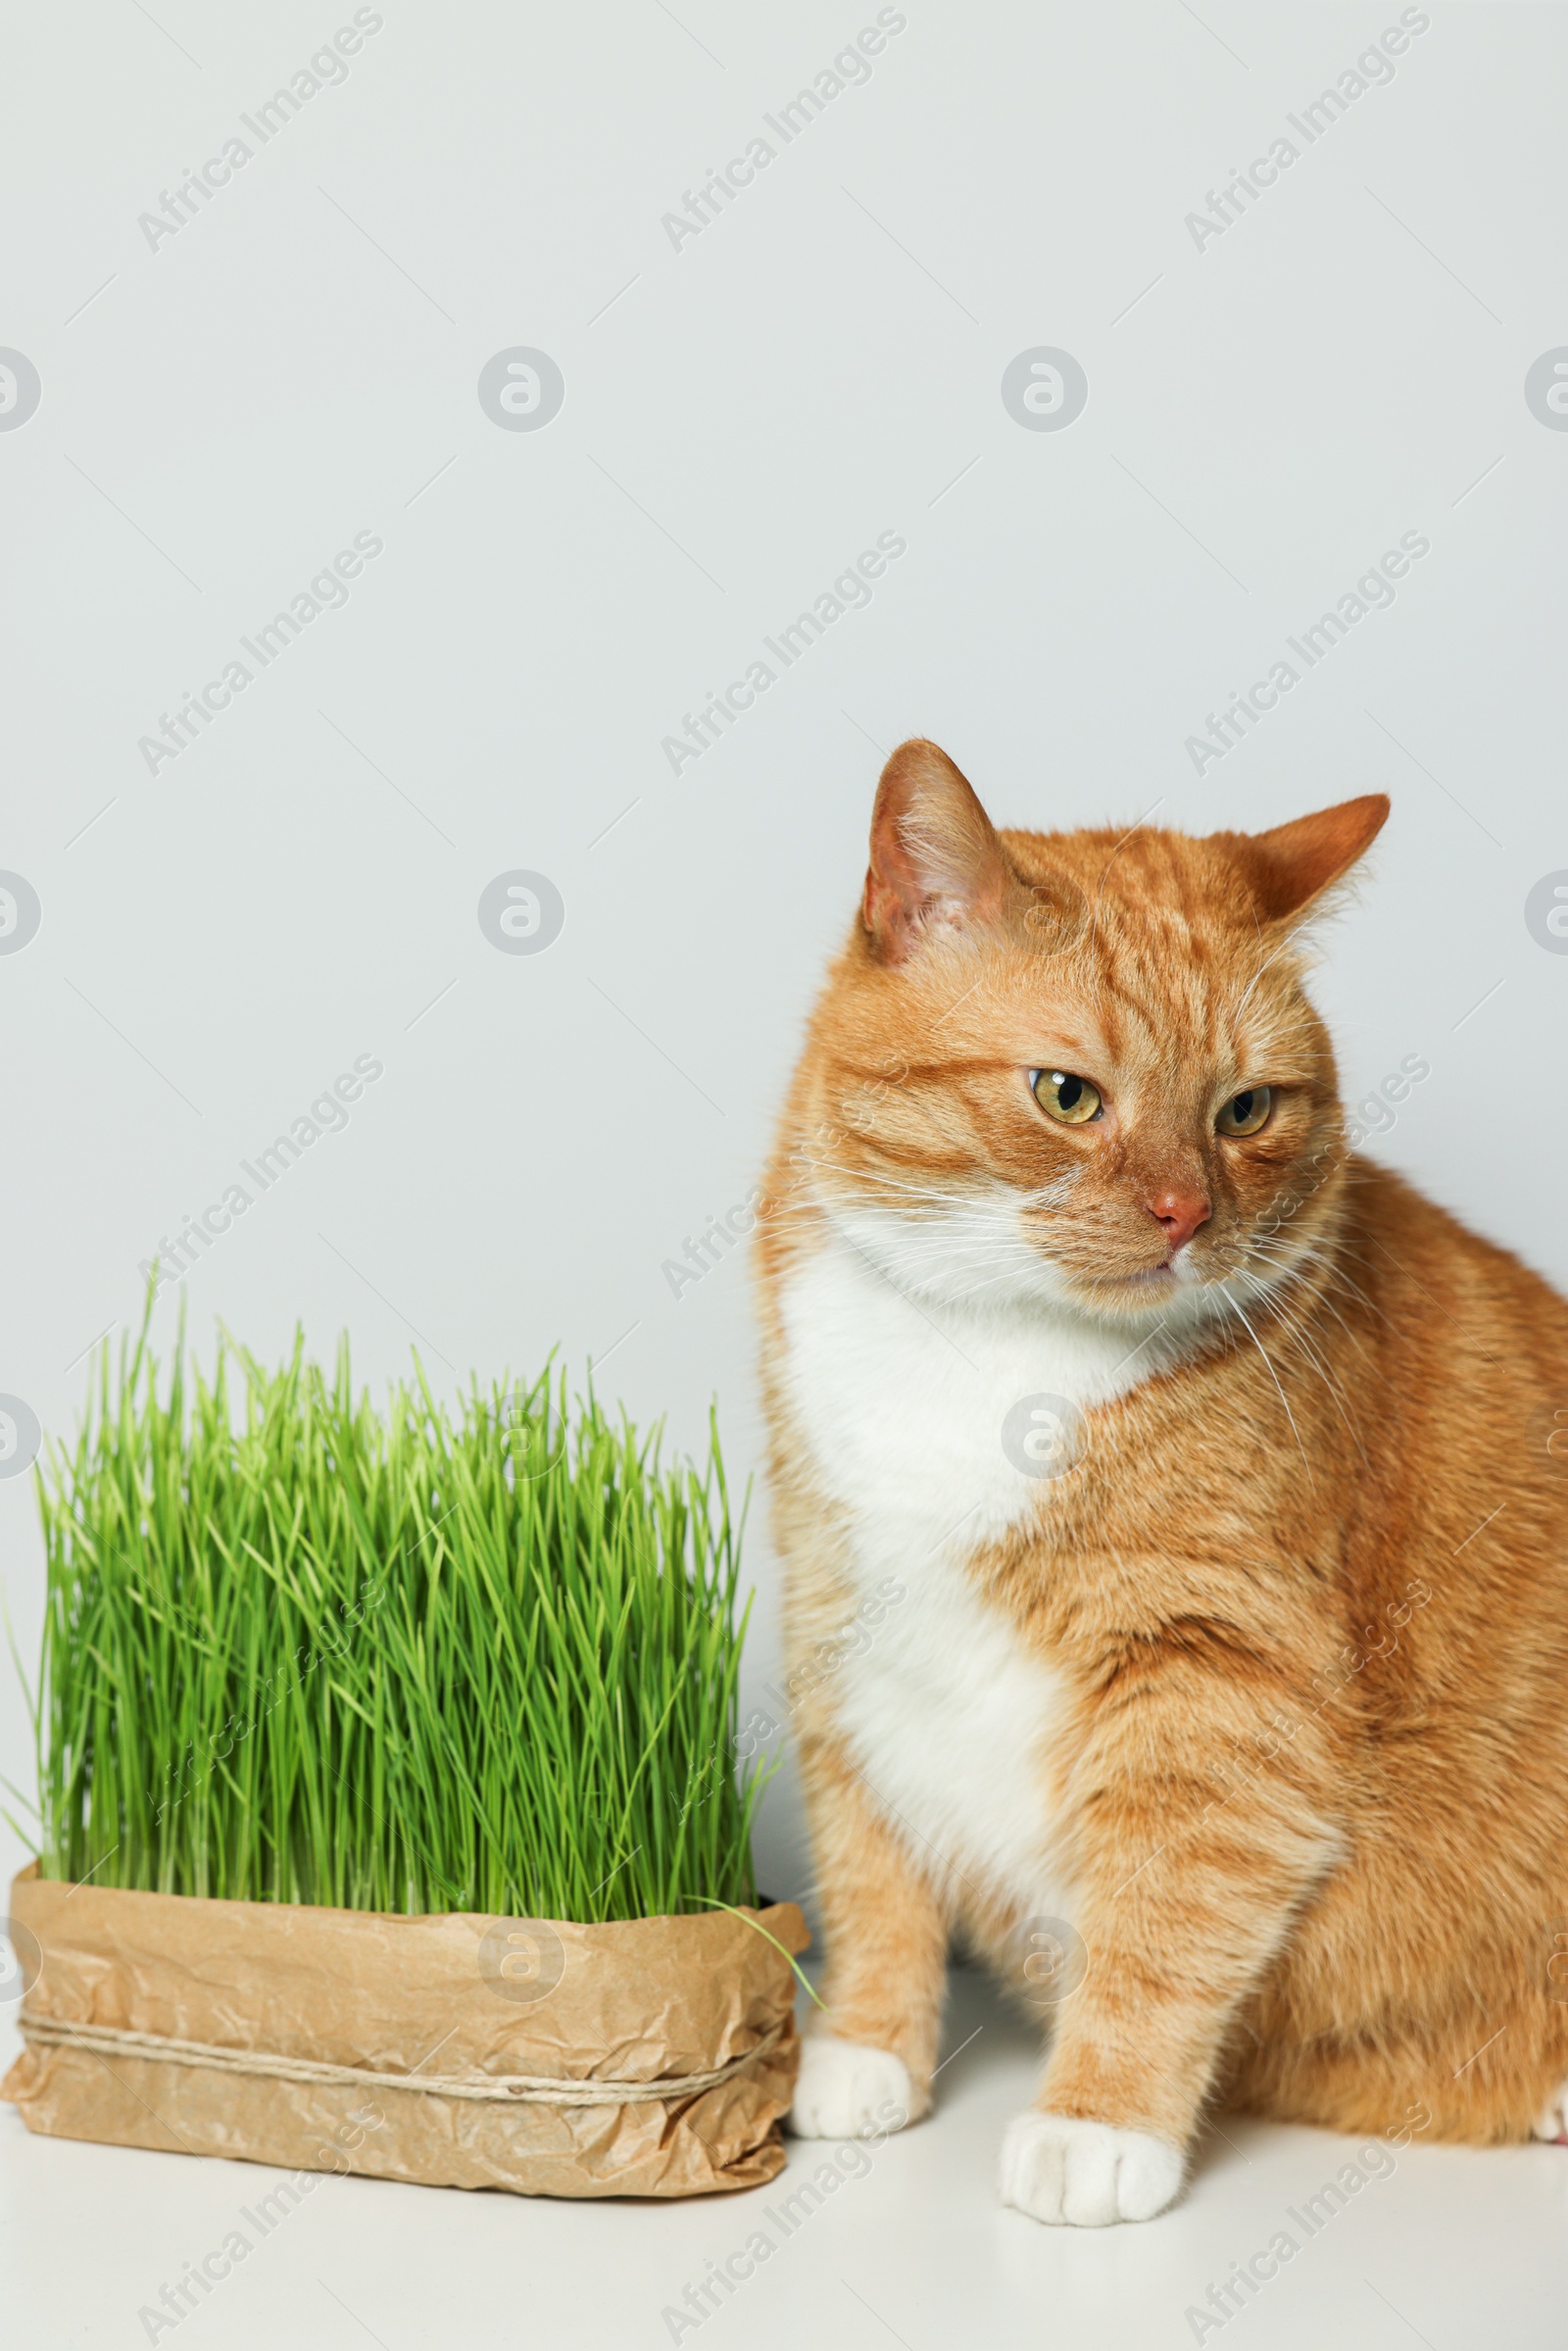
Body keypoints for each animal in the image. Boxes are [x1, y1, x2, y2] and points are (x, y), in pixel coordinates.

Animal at [752, 733, 1568, 2219]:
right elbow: (871, 1868)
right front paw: (864, 2045)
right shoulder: (842, 1623)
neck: (983, 1344)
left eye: (1244, 1108)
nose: (1187, 1211)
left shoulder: (1217, 1678)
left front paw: (1097, 2119)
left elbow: (1165, 1914)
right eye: (1067, 1093)